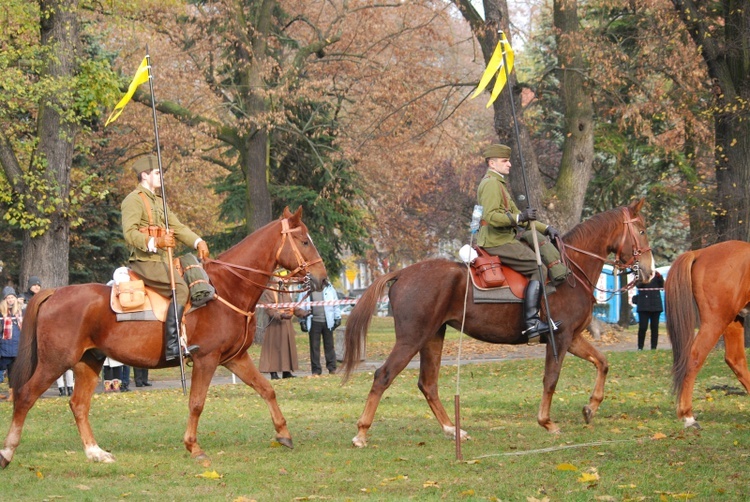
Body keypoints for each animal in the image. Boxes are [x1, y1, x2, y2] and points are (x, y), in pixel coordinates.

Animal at [1, 206, 328, 468]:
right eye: (304, 241)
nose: (323, 279)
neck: (225, 288)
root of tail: (55, 292)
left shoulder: (235, 359)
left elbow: (266, 389)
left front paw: (284, 434)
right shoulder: (206, 359)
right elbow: (196, 402)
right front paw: (193, 446)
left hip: (88, 363)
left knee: (79, 405)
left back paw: (96, 453)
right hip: (55, 362)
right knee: (25, 396)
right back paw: (7, 453)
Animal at [340, 200, 652, 448]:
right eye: (642, 230)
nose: (648, 271)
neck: (572, 269)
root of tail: (403, 273)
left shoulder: (573, 338)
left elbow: (602, 362)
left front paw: (590, 407)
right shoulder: (560, 338)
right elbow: (551, 379)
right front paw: (546, 422)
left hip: (432, 337)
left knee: (428, 384)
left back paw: (453, 429)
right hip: (412, 338)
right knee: (383, 376)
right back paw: (361, 434)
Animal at [668, 241, 750, 430]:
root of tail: (701, 252)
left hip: (733, 320)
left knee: (736, 360)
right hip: (716, 320)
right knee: (695, 357)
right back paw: (688, 416)